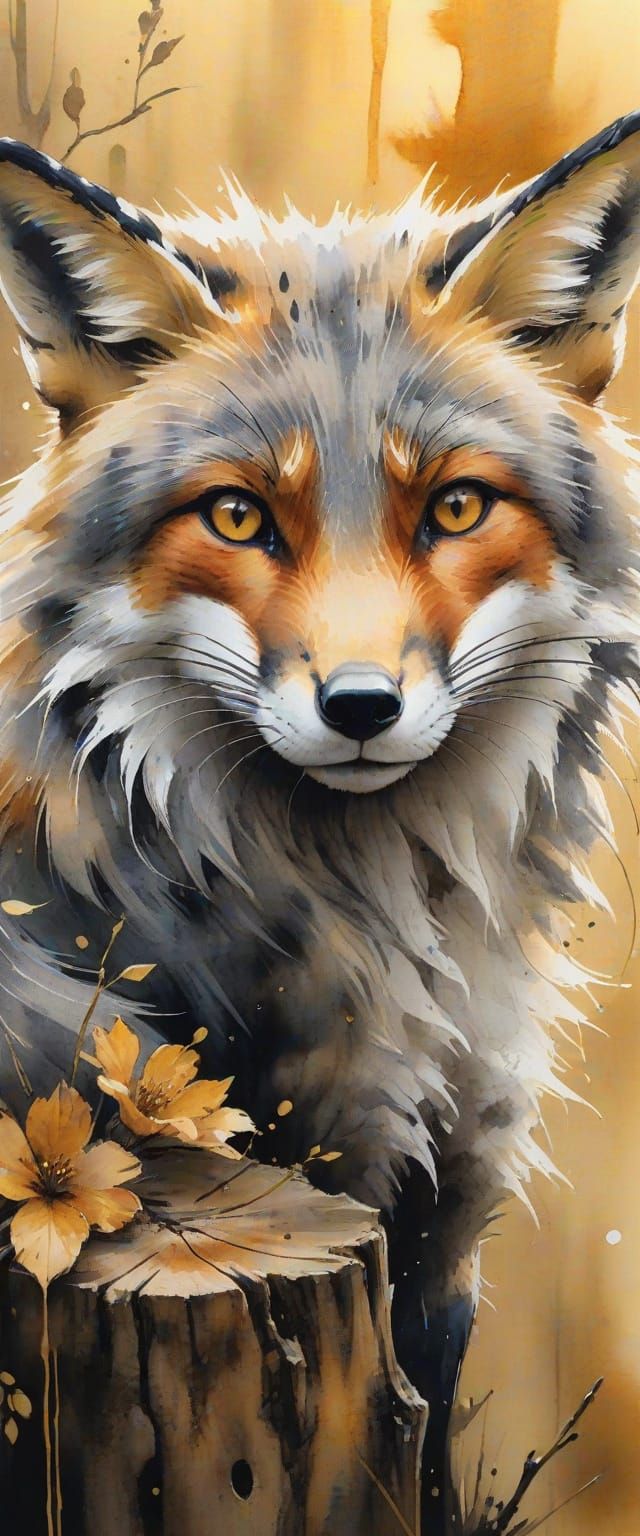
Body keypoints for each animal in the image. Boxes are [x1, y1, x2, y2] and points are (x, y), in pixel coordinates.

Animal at [0, 114, 639, 1532]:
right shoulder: (326, 1144)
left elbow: (431, 1454)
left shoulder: (443, 1206)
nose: (359, 708)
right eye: (238, 513)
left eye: (453, 505)